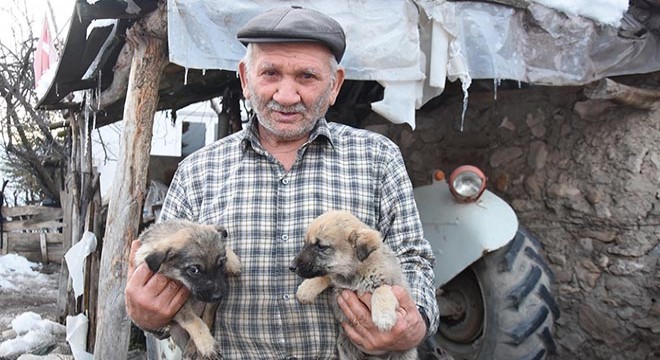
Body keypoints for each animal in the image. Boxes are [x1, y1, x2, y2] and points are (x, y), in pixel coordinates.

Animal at [133, 219, 240, 360]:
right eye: (194, 270)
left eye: (221, 264)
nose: (218, 296)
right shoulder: (176, 306)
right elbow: (194, 321)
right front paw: (206, 344)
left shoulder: (210, 303)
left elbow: (206, 318)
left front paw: (233, 262)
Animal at [290, 211, 416, 360]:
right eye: (305, 243)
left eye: (321, 246)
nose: (291, 267)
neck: (356, 272)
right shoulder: (337, 278)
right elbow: (327, 276)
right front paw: (306, 290)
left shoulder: (393, 285)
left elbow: (381, 290)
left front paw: (384, 317)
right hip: (345, 346)